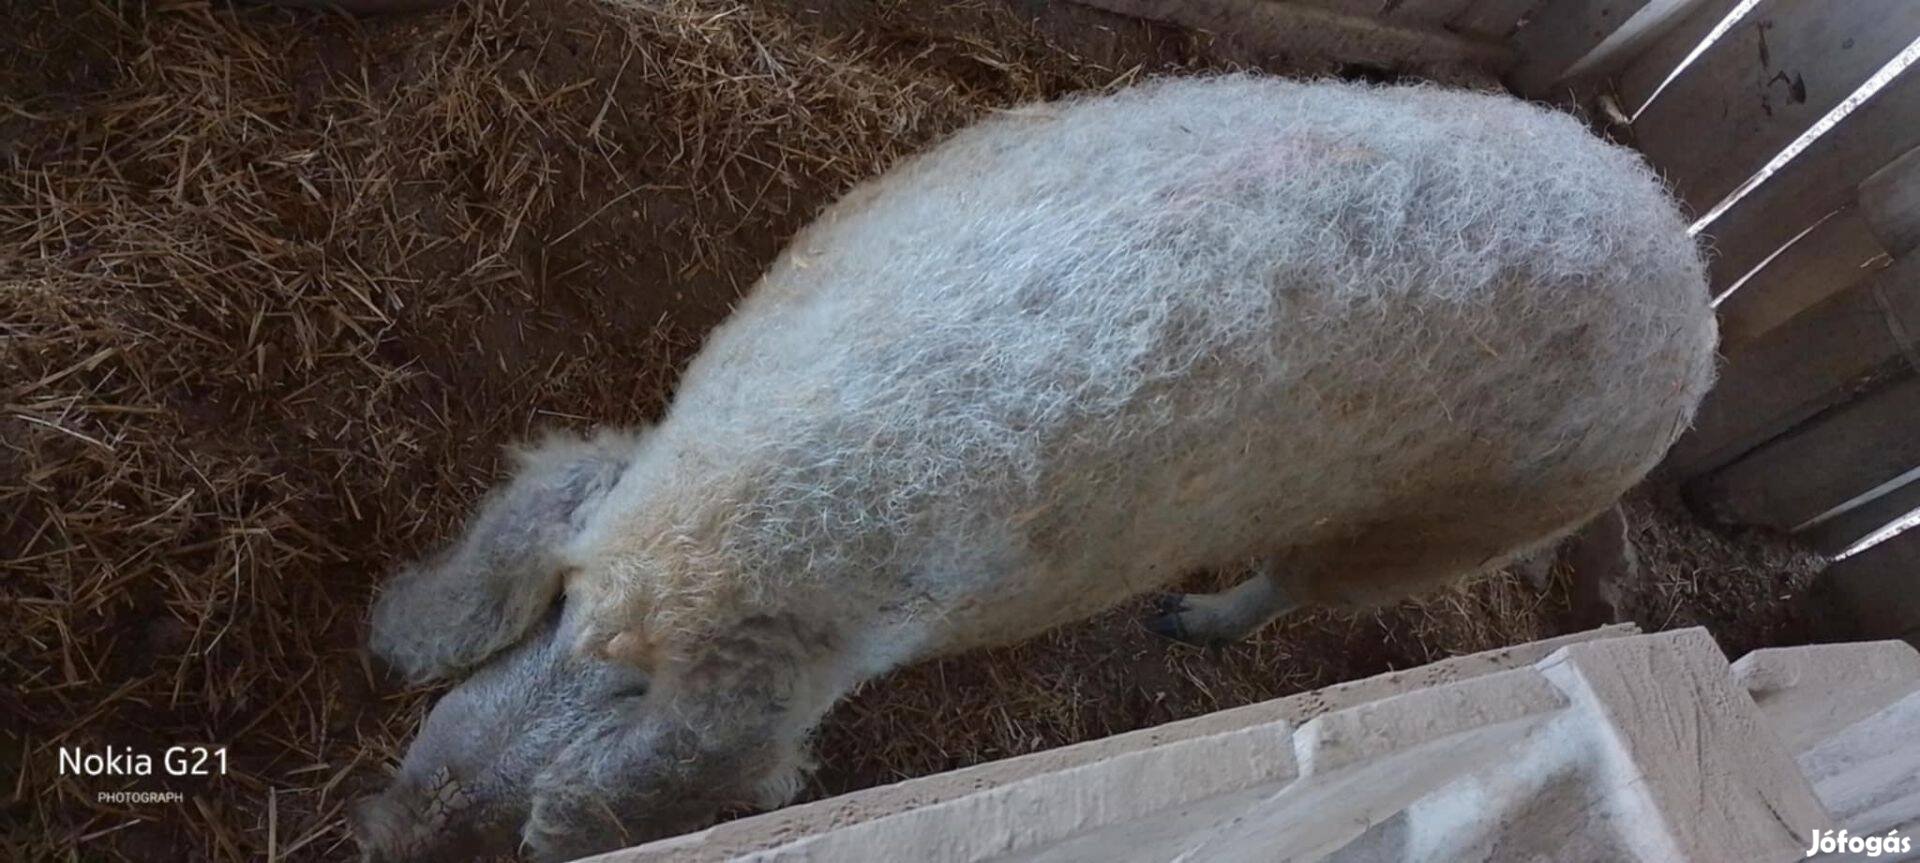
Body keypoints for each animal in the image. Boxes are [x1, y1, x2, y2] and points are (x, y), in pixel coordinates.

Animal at [353, 75, 1720, 861]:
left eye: (638, 690)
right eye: (566, 612)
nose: (385, 831)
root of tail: (1683, 247)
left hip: (1447, 521)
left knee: (1295, 583)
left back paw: (1189, 621)